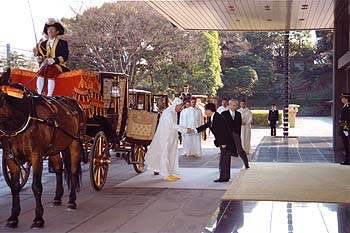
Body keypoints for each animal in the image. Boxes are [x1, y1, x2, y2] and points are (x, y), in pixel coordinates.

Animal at [0, 68, 85, 228]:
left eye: (1, 97)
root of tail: (74, 102)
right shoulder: (9, 158)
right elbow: (14, 187)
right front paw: (13, 217)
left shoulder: (36, 156)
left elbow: (36, 186)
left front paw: (38, 218)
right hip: (55, 147)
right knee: (58, 168)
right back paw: (58, 196)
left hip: (75, 143)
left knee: (72, 170)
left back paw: (72, 200)